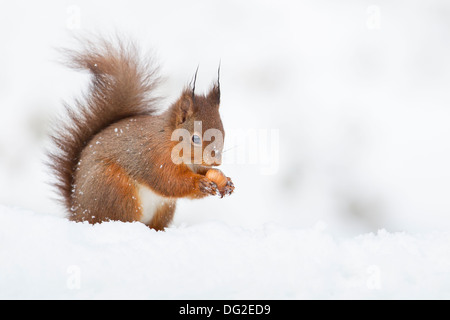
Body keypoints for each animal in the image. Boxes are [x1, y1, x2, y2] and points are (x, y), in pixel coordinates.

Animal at [48, 36, 234, 229]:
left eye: (223, 133)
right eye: (195, 138)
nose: (217, 161)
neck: (169, 139)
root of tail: (78, 213)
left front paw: (226, 182)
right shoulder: (155, 157)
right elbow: (169, 181)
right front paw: (200, 183)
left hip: (163, 208)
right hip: (116, 191)